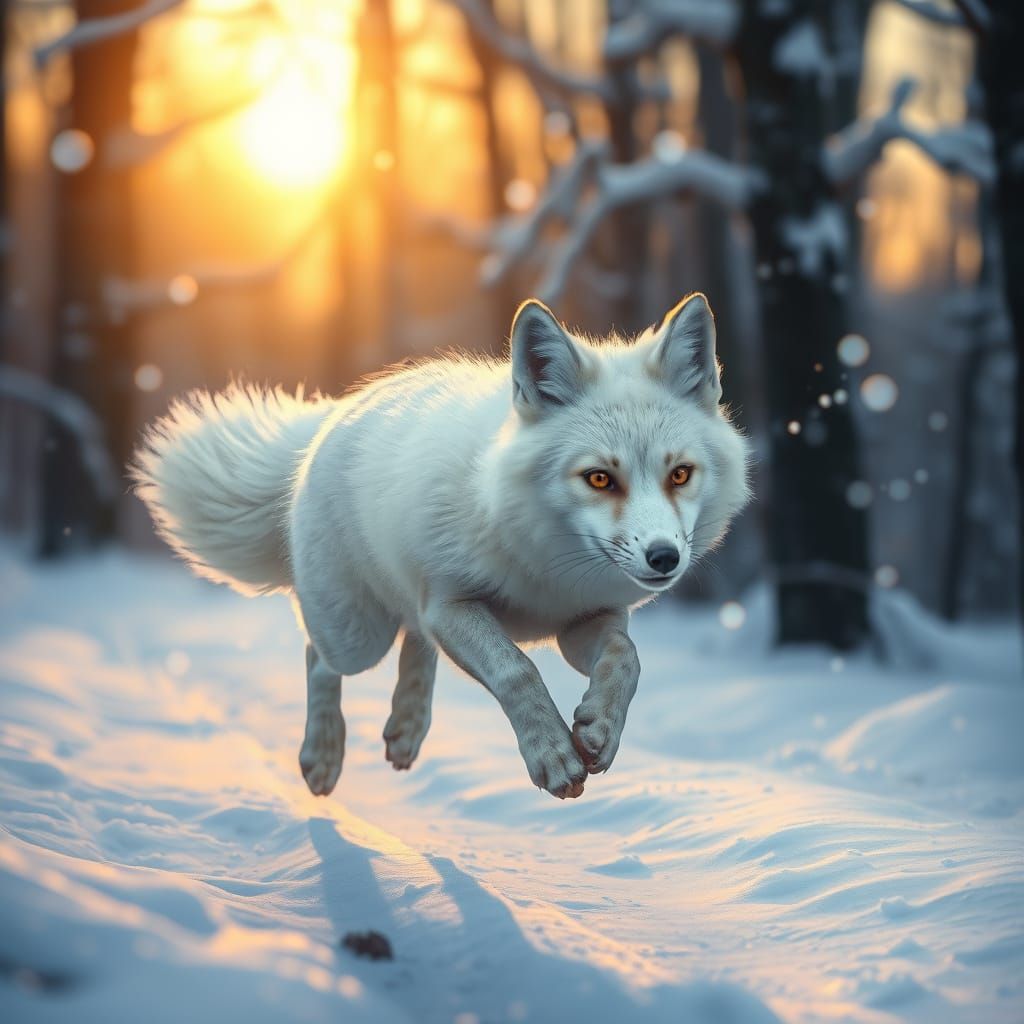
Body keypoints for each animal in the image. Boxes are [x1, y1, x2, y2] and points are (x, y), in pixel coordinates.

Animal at [132, 294, 750, 800]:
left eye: (680, 474)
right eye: (600, 479)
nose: (664, 558)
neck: (546, 564)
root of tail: (333, 416)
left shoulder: (583, 620)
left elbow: (627, 658)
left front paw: (598, 729)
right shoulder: (456, 606)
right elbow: (517, 670)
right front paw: (552, 757)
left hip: (408, 612)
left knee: (415, 641)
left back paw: (406, 730)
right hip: (359, 637)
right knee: (321, 657)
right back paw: (323, 755)